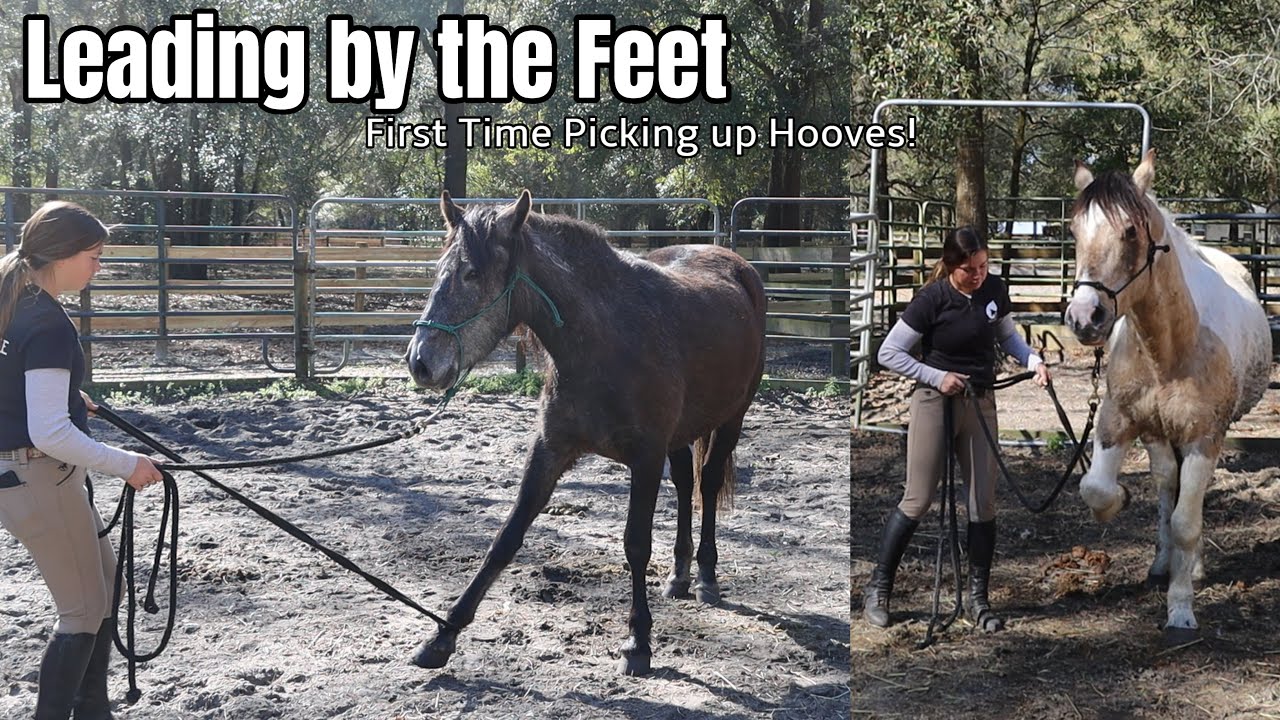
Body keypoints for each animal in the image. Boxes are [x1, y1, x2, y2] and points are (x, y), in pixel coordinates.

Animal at [404, 191, 767, 674]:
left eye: (472, 273)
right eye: (440, 269)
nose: (420, 362)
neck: (605, 342)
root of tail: (736, 265)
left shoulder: (645, 459)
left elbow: (636, 544)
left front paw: (638, 642)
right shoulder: (550, 448)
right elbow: (507, 536)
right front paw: (443, 635)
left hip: (732, 418)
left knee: (706, 486)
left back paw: (706, 577)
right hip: (682, 434)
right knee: (687, 484)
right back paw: (679, 576)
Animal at [1063, 150, 1271, 644]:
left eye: (1130, 231)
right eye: (1075, 231)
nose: (1084, 318)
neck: (1170, 347)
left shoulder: (1204, 438)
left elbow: (1186, 522)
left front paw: (1181, 609)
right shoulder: (1117, 422)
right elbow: (1096, 488)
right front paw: (1120, 500)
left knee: (1185, 501)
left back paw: (1188, 568)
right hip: (1157, 434)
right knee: (1165, 486)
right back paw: (1163, 563)